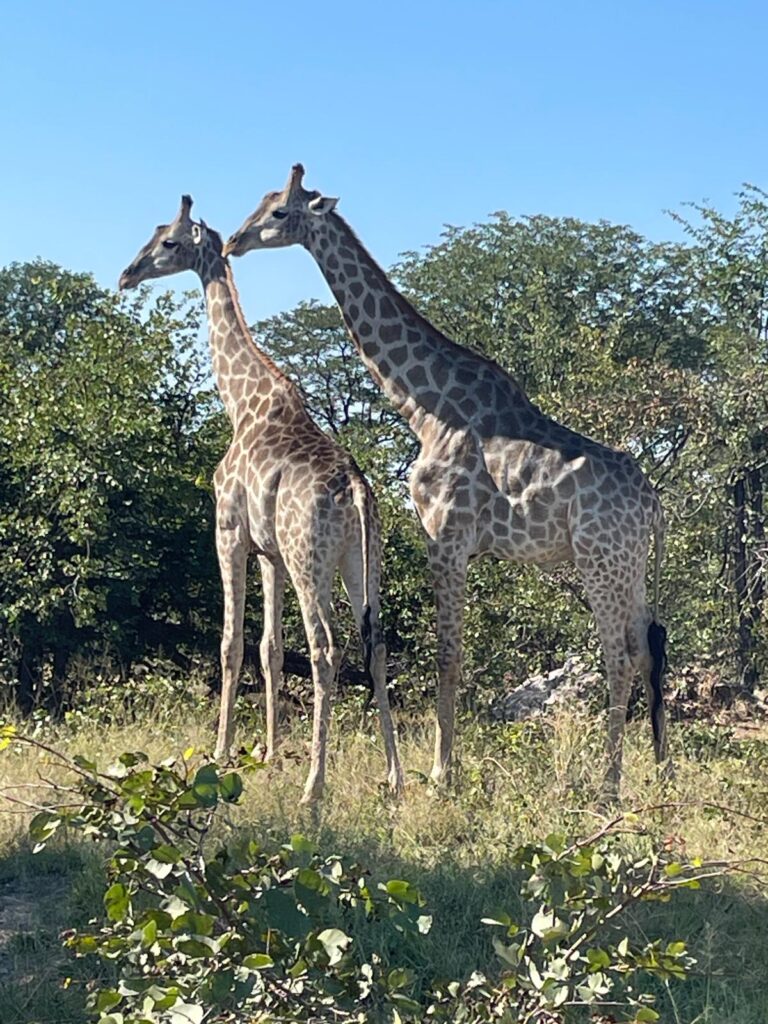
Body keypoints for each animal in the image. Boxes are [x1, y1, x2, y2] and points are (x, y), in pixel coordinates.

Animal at [119, 195, 403, 803]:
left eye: (168, 242)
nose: (127, 274)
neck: (240, 402)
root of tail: (357, 491)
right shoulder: (268, 551)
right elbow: (270, 648)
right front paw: (271, 755)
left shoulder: (228, 531)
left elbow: (231, 642)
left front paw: (222, 752)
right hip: (359, 560)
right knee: (375, 644)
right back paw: (392, 778)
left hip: (308, 560)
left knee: (326, 649)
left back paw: (315, 788)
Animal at [224, 165, 670, 800]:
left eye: (279, 212)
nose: (235, 242)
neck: (425, 408)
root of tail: (653, 503)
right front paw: (439, 768)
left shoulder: (445, 536)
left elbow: (447, 656)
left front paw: (440, 773)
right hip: (627, 565)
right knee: (650, 646)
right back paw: (662, 772)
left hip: (598, 559)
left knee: (621, 653)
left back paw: (609, 784)